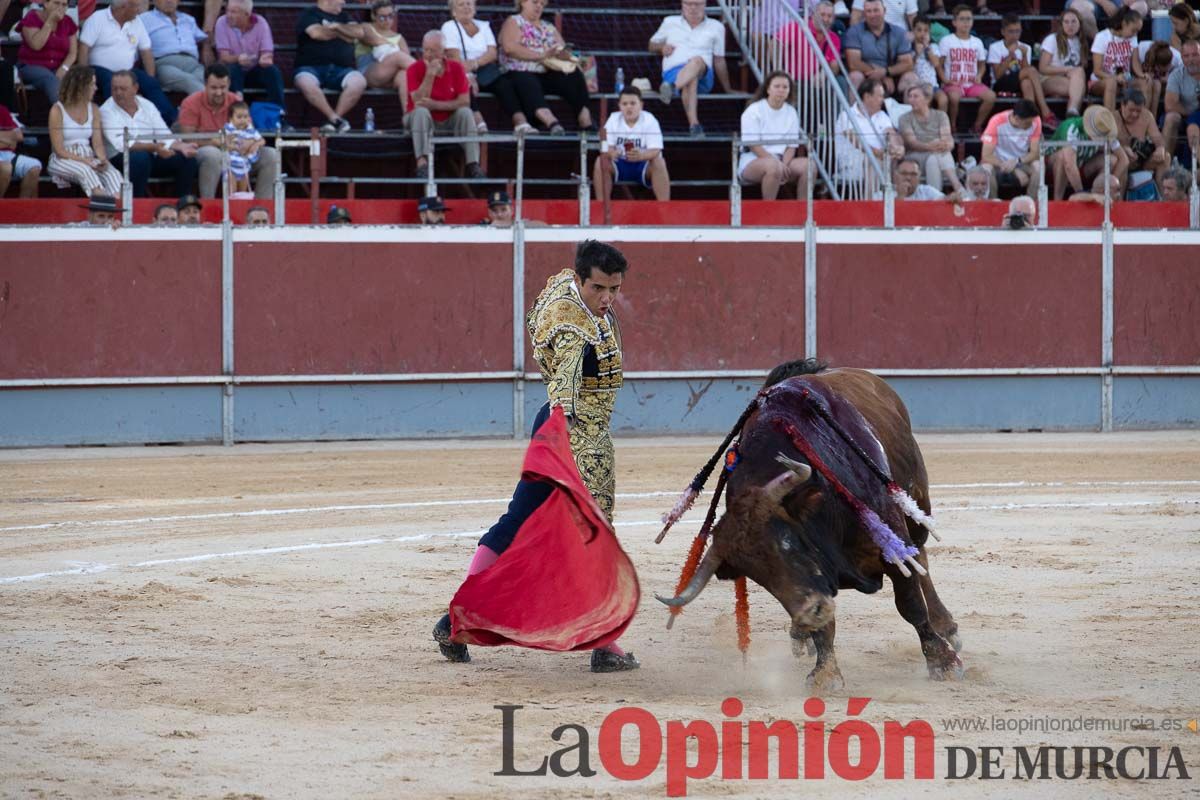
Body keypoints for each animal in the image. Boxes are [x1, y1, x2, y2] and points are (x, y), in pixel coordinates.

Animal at [657, 362, 964, 690]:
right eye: (757, 577)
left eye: (789, 544)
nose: (808, 614)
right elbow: (825, 628)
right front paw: (825, 672)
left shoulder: (890, 543)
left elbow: (909, 603)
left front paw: (942, 661)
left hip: (916, 502)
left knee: (920, 557)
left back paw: (947, 627)